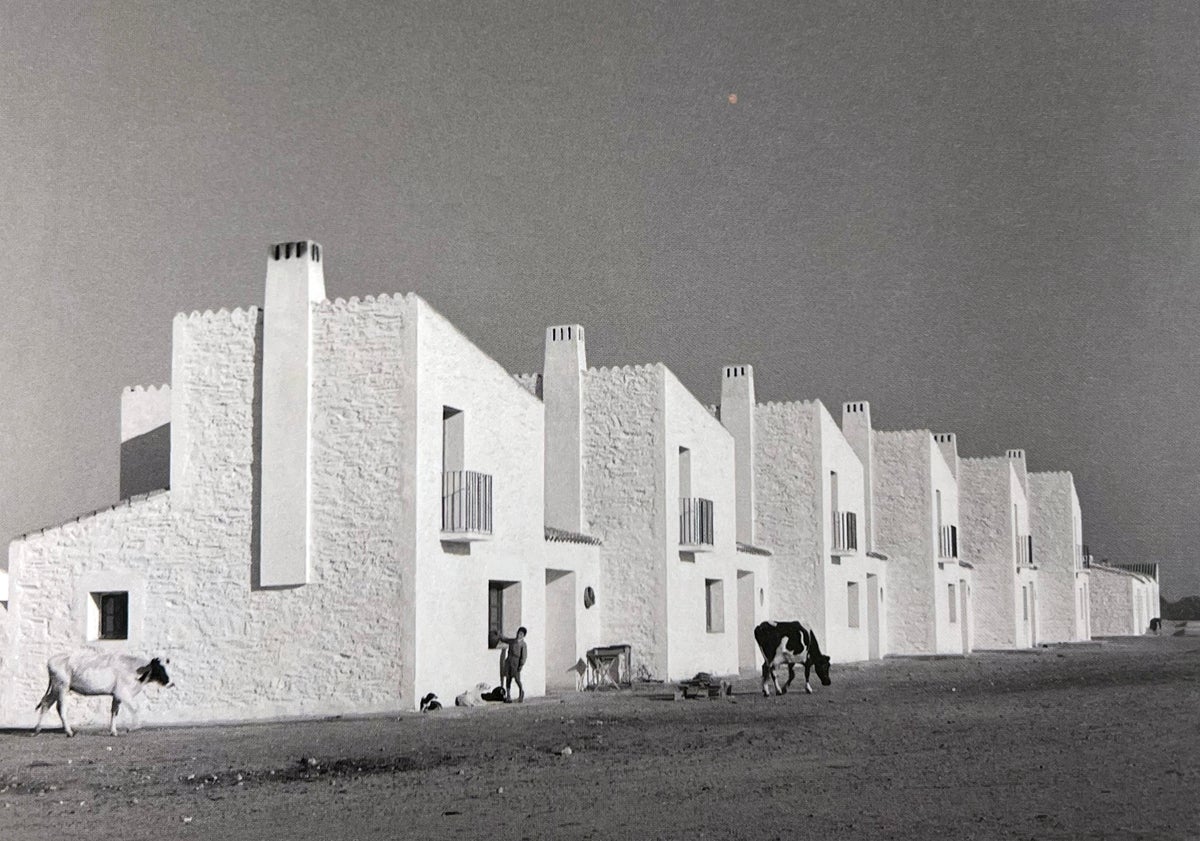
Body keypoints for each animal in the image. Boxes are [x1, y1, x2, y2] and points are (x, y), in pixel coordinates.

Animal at [33, 647, 171, 734]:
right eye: (159, 668)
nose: (169, 682)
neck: (134, 669)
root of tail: (52, 660)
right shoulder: (123, 693)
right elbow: (136, 709)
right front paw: (132, 728)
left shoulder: (116, 695)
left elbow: (114, 711)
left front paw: (113, 731)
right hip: (62, 687)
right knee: (60, 708)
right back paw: (69, 732)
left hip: (56, 689)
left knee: (46, 703)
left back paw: (38, 729)